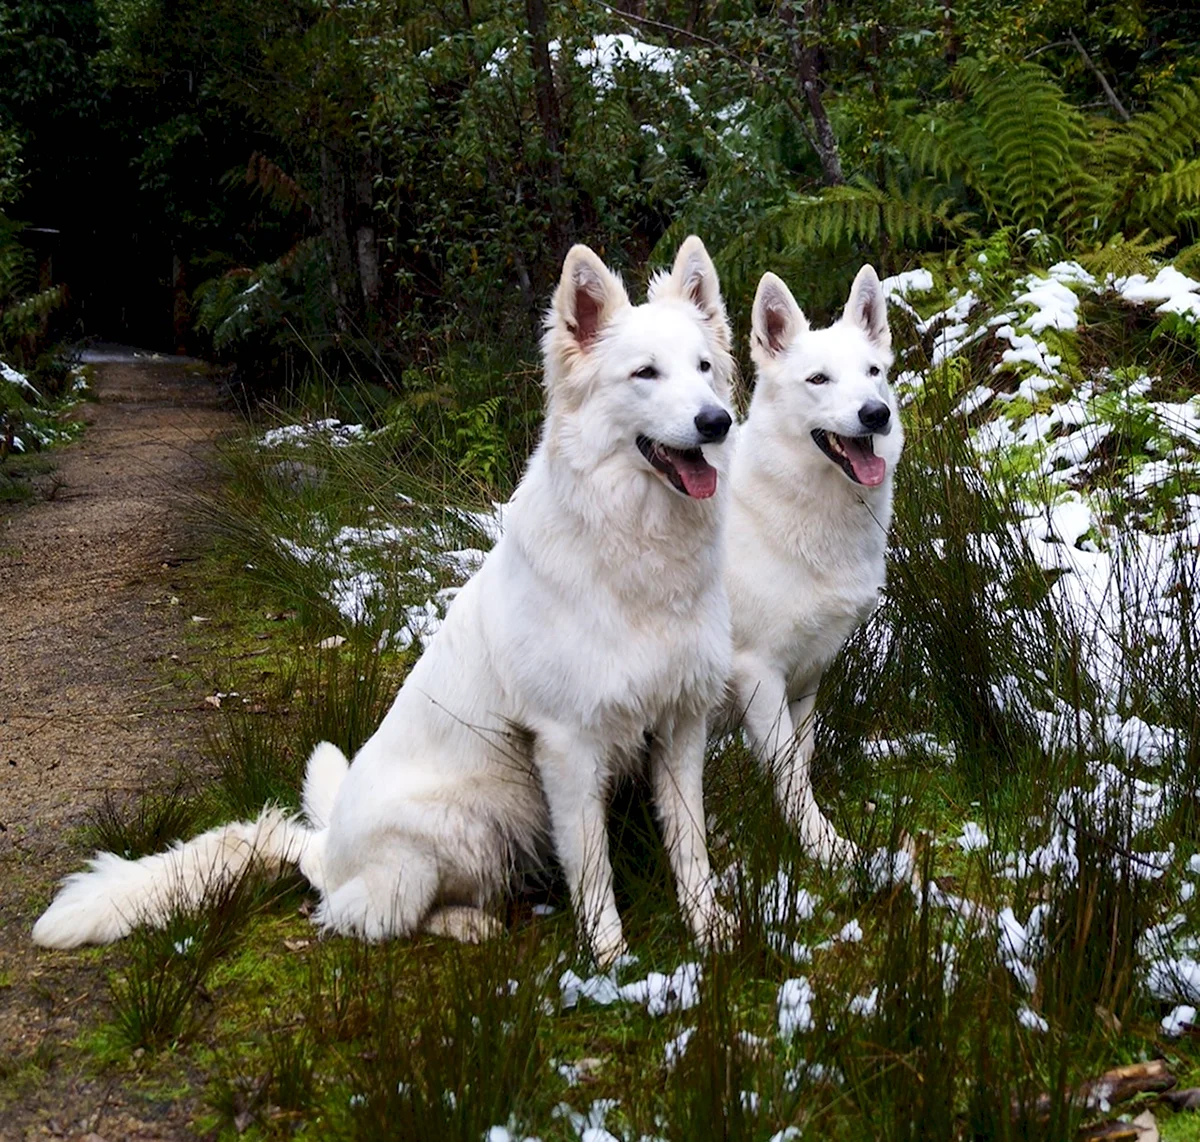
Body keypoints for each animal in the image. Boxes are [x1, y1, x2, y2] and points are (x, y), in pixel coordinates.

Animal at [32, 236, 734, 969]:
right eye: (645, 374)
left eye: (704, 368)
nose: (717, 421)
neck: (635, 547)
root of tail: (324, 845)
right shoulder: (568, 748)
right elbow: (593, 871)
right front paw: (611, 964)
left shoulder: (681, 726)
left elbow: (690, 847)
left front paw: (711, 935)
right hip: (463, 823)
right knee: (359, 914)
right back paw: (466, 924)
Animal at [720, 262, 902, 858]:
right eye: (819, 380)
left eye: (873, 372)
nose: (876, 414)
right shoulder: (758, 675)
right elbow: (790, 774)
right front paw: (824, 848)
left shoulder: (806, 677)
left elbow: (802, 756)